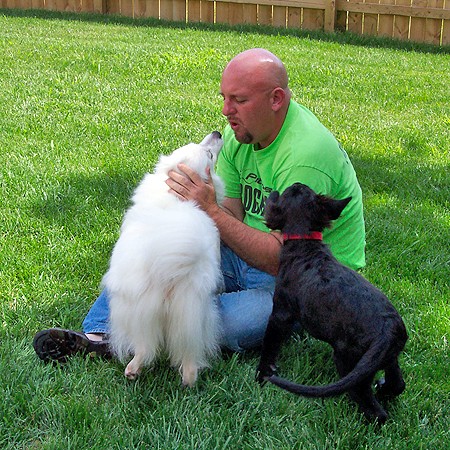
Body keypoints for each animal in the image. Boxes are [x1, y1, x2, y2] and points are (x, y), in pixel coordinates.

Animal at [103, 131, 224, 386]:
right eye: (209, 154)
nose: (218, 133)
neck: (173, 197)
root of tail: (164, 271)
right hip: (193, 311)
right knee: (188, 350)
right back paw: (190, 379)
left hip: (136, 311)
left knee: (144, 346)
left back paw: (133, 369)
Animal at [256, 182, 408, 422]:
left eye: (290, 191)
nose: (297, 183)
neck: (304, 243)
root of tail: (389, 328)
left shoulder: (280, 313)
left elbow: (270, 344)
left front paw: (262, 375)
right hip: (387, 358)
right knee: (398, 384)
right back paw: (383, 389)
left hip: (349, 362)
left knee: (375, 411)